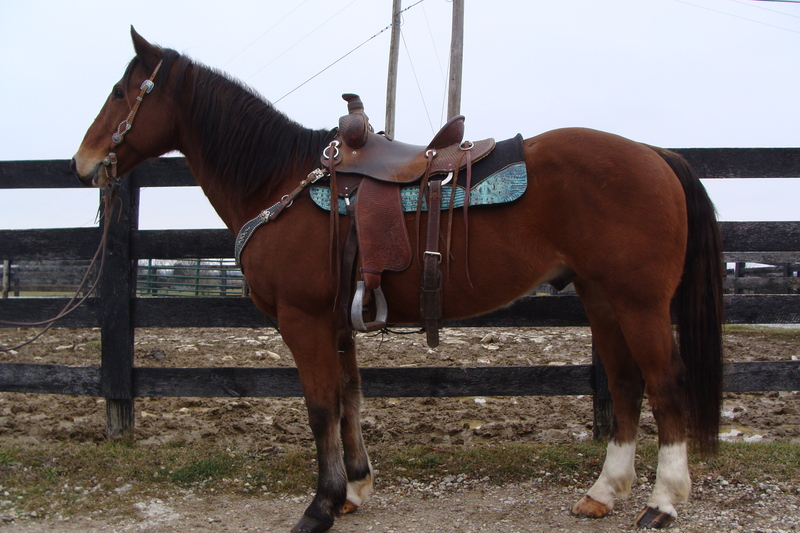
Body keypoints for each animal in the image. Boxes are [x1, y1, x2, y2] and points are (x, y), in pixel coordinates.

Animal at [72, 28, 724, 532]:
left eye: (122, 91)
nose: (82, 164)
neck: (278, 181)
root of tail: (653, 153)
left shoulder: (303, 321)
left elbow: (320, 406)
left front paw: (320, 506)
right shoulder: (338, 322)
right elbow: (349, 399)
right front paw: (356, 489)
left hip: (638, 302)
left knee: (666, 385)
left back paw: (663, 502)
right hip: (602, 298)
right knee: (625, 385)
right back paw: (603, 493)